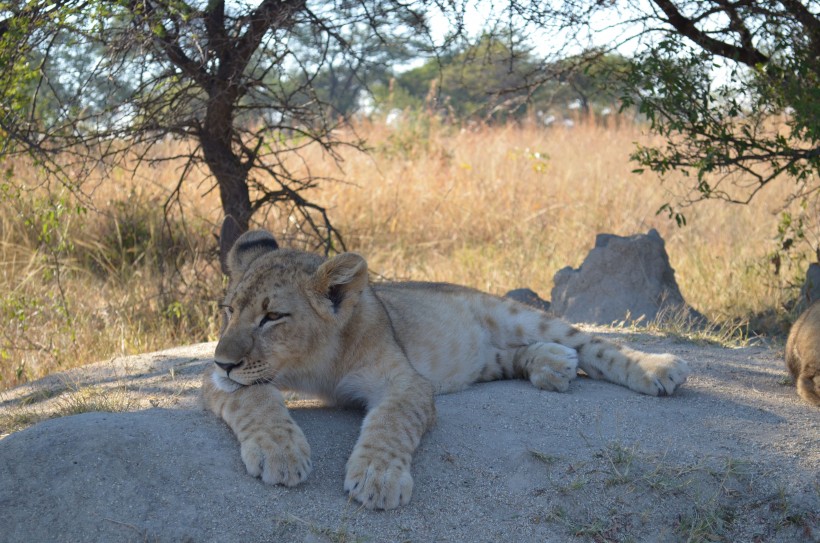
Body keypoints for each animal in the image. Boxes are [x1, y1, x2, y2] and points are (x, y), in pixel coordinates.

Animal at [202, 218, 688, 510]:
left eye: (272, 317)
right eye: (228, 310)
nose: (224, 361)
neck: (315, 365)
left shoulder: (405, 380)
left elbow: (391, 422)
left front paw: (378, 477)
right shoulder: (215, 380)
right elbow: (254, 398)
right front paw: (280, 452)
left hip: (518, 314)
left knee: (594, 346)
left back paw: (658, 368)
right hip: (483, 359)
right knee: (513, 356)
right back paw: (552, 365)